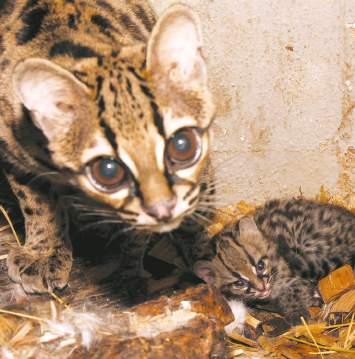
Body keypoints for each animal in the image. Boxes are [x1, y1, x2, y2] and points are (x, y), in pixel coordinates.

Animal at [0, 0, 214, 296]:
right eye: (108, 170)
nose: (164, 210)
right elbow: (38, 205)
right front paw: (45, 254)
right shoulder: (14, 157)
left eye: (182, 145)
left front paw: (128, 271)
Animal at [195, 198, 355, 324]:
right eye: (239, 283)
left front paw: (297, 313)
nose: (262, 288)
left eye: (260, 265)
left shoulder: (291, 275)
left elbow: (293, 290)